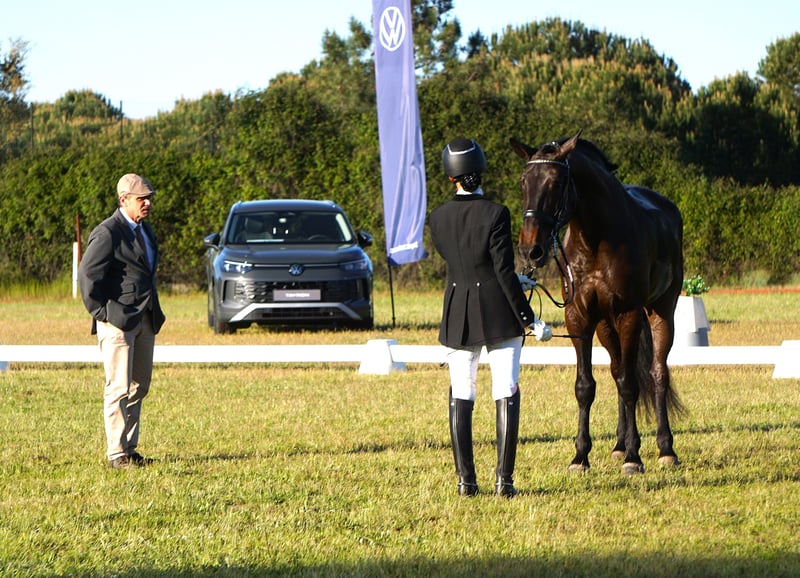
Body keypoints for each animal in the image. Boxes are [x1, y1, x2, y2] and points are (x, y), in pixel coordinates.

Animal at [510, 130, 685, 475]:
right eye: (524, 182)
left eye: (556, 184)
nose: (530, 251)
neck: (595, 241)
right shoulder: (579, 318)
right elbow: (586, 386)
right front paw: (580, 456)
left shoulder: (628, 314)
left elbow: (631, 384)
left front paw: (634, 458)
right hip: (606, 326)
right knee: (618, 371)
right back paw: (618, 445)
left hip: (660, 311)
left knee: (657, 373)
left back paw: (664, 449)